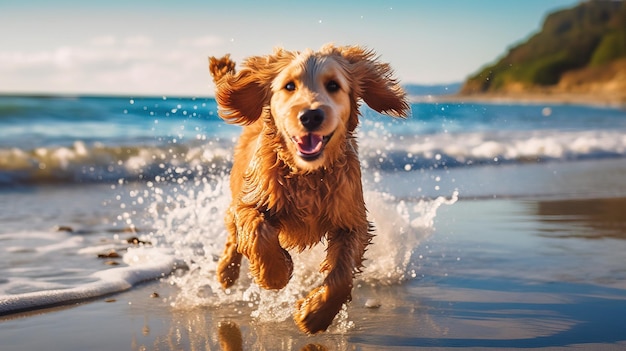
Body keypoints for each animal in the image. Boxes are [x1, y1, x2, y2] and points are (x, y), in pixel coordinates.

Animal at [207, 44, 408, 336]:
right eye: (289, 86)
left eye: (333, 85)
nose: (311, 115)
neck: (307, 174)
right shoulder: (251, 200)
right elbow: (256, 233)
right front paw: (277, 272)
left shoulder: (352, 219)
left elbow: (342, 273)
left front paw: (314, 315)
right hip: (237, 192)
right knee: (234, 235)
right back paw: (226, 273)